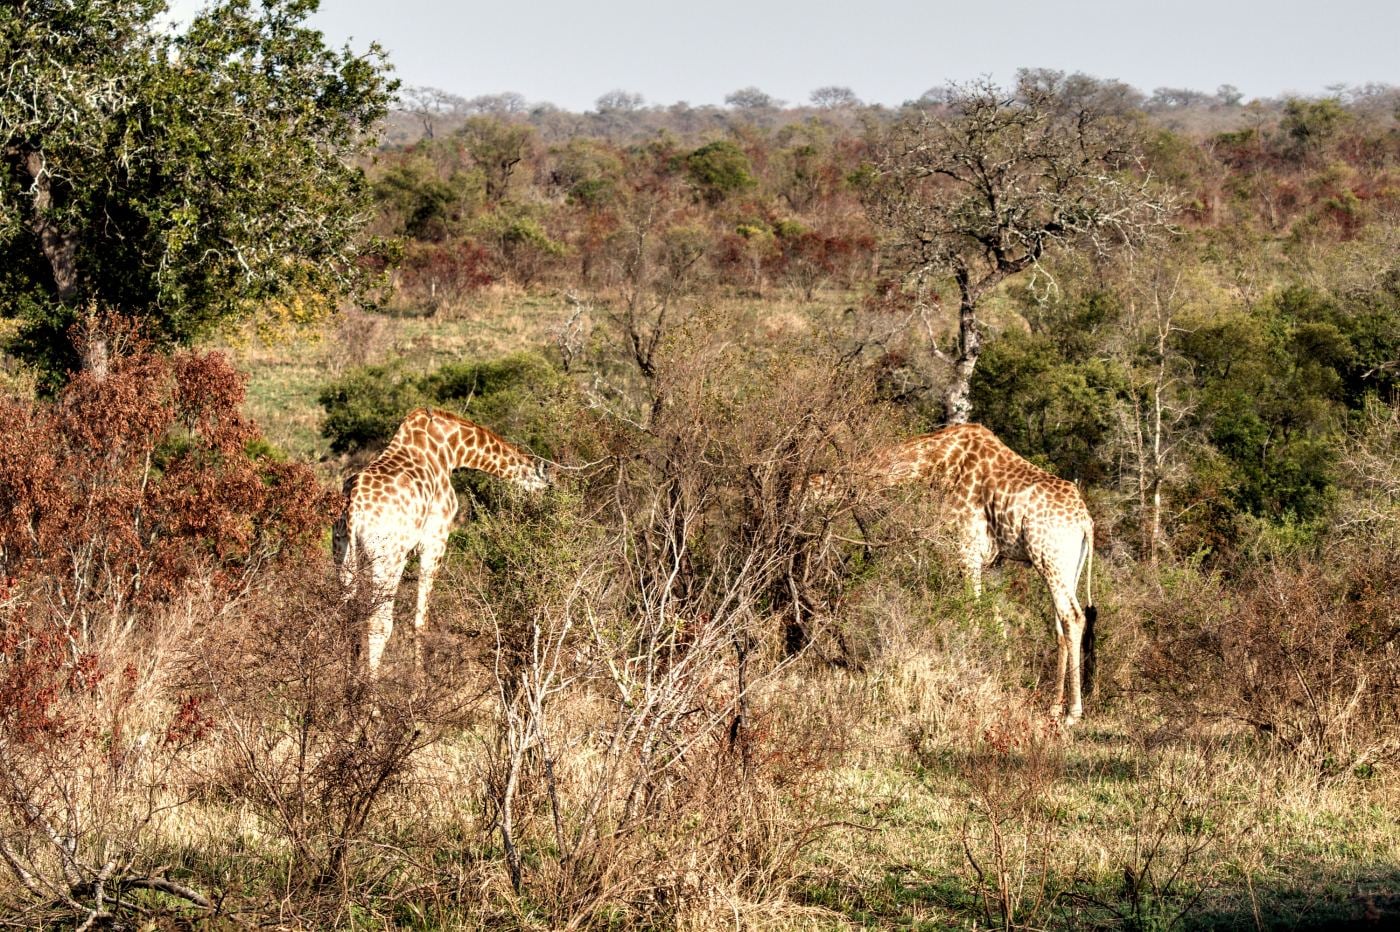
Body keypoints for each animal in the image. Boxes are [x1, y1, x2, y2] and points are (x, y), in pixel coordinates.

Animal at [333, 407, 551, 675]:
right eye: (545, 486)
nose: (539, 509)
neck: (450, 449)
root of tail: (353, 506)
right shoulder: (435, 540)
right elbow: (420, 621)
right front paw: (419, 682)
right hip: (385, 560)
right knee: (378, 622)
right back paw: (370, 685)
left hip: (343, 552)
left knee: (348, 615)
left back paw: (349, 680)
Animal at [812, 423, 1097, 725]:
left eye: (810, 487)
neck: (938, 461)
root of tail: (1085, 522)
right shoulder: (992, 561)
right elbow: (996, 620)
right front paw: (1001, 676)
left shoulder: (967, 548)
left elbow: (971, 615)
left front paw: (968, 672)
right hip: (1067, 565)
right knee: (1060, 625)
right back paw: (1055, 707)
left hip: (1049, 557)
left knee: (1073, 617)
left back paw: (1073, 713)